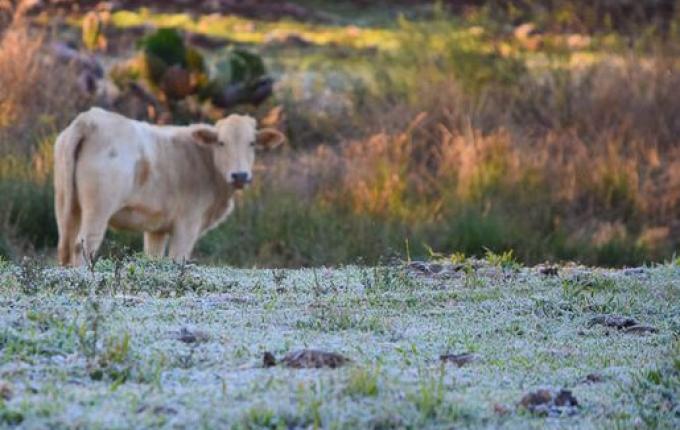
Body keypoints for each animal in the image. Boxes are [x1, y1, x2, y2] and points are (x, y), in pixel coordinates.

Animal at [53, 107, 285, 266]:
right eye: (221, 143)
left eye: (252, 143)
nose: (240, 175)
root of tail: (89, 120)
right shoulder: (187, 224)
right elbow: (177, 258)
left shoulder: (156, 228)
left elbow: (153, 257)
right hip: (99, 207)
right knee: (83, 245)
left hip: (66, 204)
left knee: (65, 244)